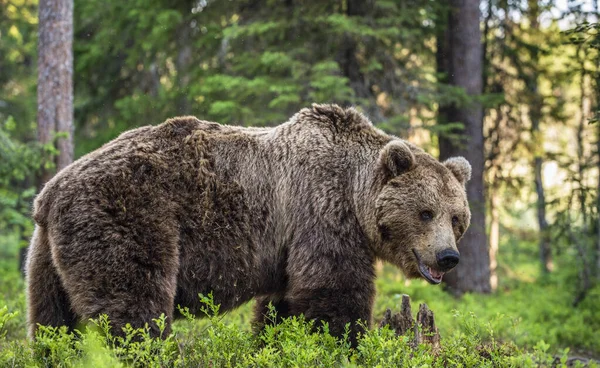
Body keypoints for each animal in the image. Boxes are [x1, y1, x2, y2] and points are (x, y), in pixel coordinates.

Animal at [25, 103, 472, 344]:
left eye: (456, 217)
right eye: (425, 212)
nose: (448, 257)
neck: (354, 191)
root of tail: (51, 191)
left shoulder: (289, 245)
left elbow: (283, 306)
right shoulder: (320, 215)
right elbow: (334, 293)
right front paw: (346, 343)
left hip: (50, 253)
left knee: (53, 321)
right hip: (128, 216)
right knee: (133, 306)